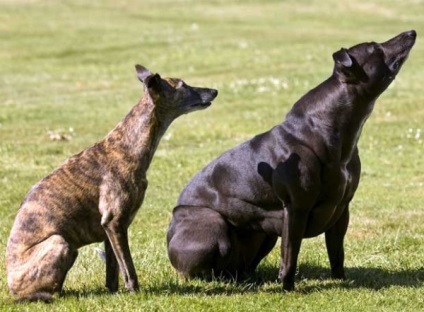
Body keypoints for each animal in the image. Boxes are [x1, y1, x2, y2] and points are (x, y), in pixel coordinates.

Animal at [166, 30, 418, 292]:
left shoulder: (342, 209)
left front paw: (340, 281)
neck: (330, 128)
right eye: (376, 48)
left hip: (265, 235)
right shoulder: (296, 209)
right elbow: (290, 254)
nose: (410, 32)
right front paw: (287, 288)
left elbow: (337, 253)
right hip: (214, 225)